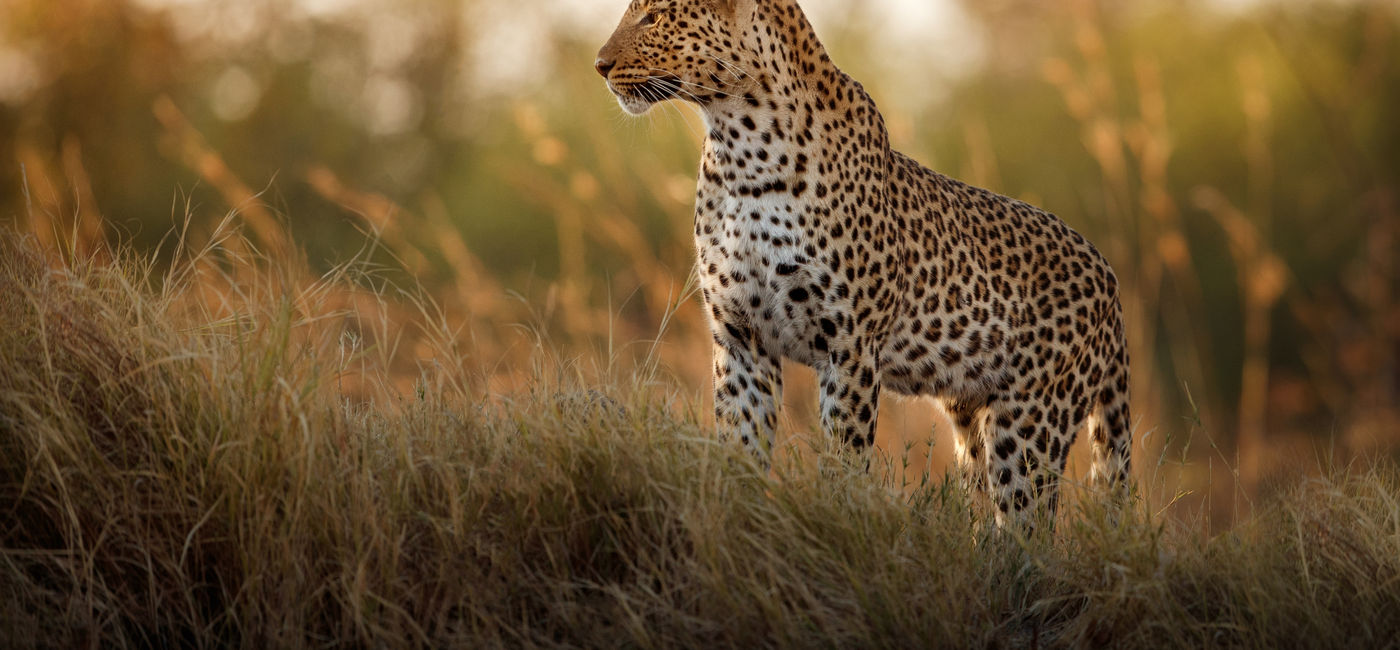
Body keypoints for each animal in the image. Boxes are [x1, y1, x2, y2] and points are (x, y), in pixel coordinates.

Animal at [596, 0, 1132, 526]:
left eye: (656, 16)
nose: (600, 65)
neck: (741, 149)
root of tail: (1109, 277)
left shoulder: (849, 344)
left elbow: (844, 459)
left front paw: (836, 520)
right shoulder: (740, 337)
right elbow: (740, 447)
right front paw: (736, 520)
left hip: (1030, 423)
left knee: (1029, 527)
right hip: (971, 417)